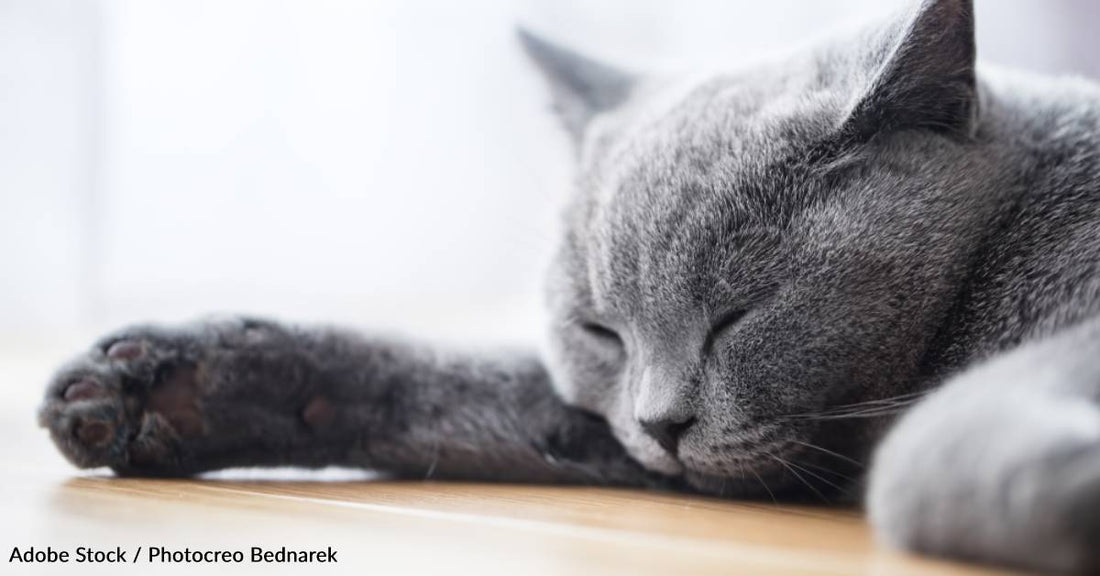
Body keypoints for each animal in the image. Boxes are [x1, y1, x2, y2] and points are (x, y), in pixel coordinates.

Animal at [34, 1, 1100, 571]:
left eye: (738, 317)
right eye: (601, 334)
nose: (664, 422)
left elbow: (931, 457)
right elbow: (453, 383)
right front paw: (161, 388)